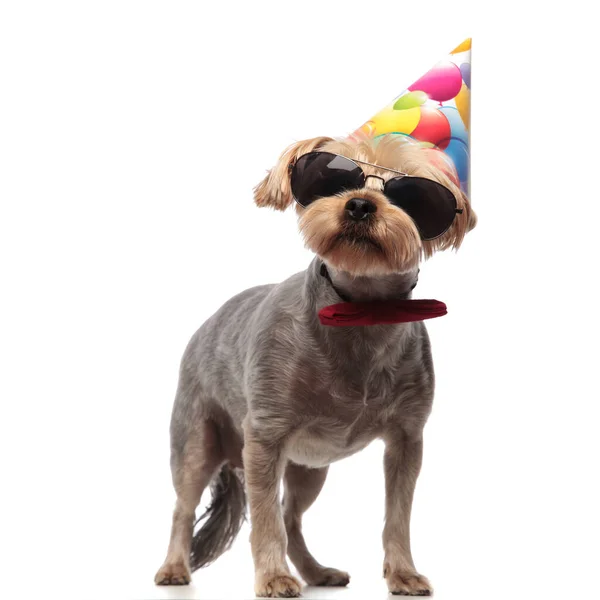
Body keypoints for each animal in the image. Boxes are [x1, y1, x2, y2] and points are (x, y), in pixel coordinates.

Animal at [155, 134, 478, 596]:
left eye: (415, 196)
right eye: (332, 176)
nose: (360, 205)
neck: (361, 312)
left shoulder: (406, 439)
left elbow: (398, 515)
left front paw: (403, 572)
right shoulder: (265, 438)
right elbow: (265, 520)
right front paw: (272, 577)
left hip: (309, 469)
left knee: (292, 517)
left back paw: (315, 572)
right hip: (196, 442)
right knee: (185, 508)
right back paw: (174, 568)